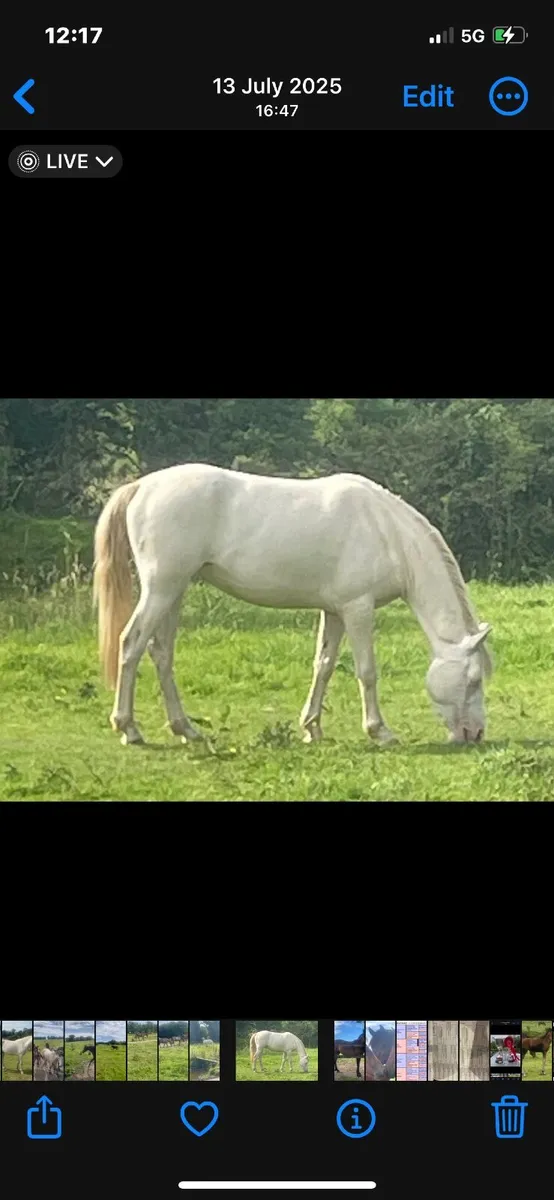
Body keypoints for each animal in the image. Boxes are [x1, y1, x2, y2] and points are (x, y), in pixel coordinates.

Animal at [93, 465, 492, 749]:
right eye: (473, 679)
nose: (474, 734)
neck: (387, 532)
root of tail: (142, 486)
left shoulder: (335, 611)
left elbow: (324, 665)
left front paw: (311, 728)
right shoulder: (358, 609)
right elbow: (366, 671)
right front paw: (379, 731)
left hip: (173, 593)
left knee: (161, 653)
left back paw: (185, 729)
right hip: (161, 590)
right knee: (131, 644)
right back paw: (129, 728)